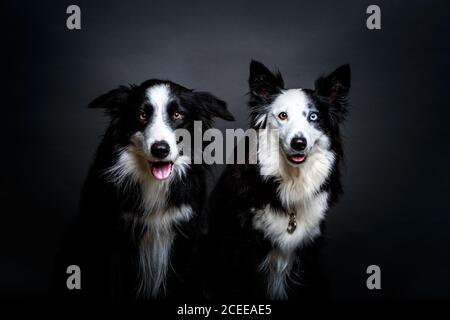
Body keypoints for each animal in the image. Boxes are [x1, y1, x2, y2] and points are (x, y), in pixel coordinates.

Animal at [54, 79, 234, 298]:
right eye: (142, 115)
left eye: (177, 114)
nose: (160, 149)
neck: (153, 183)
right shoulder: (113, 237)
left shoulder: (186, 237)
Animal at [207, 60, 352, 300]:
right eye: (283, 116)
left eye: (313, 117)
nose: (299, 143)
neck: (291, 181)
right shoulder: (242, 249)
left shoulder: (308, 250)